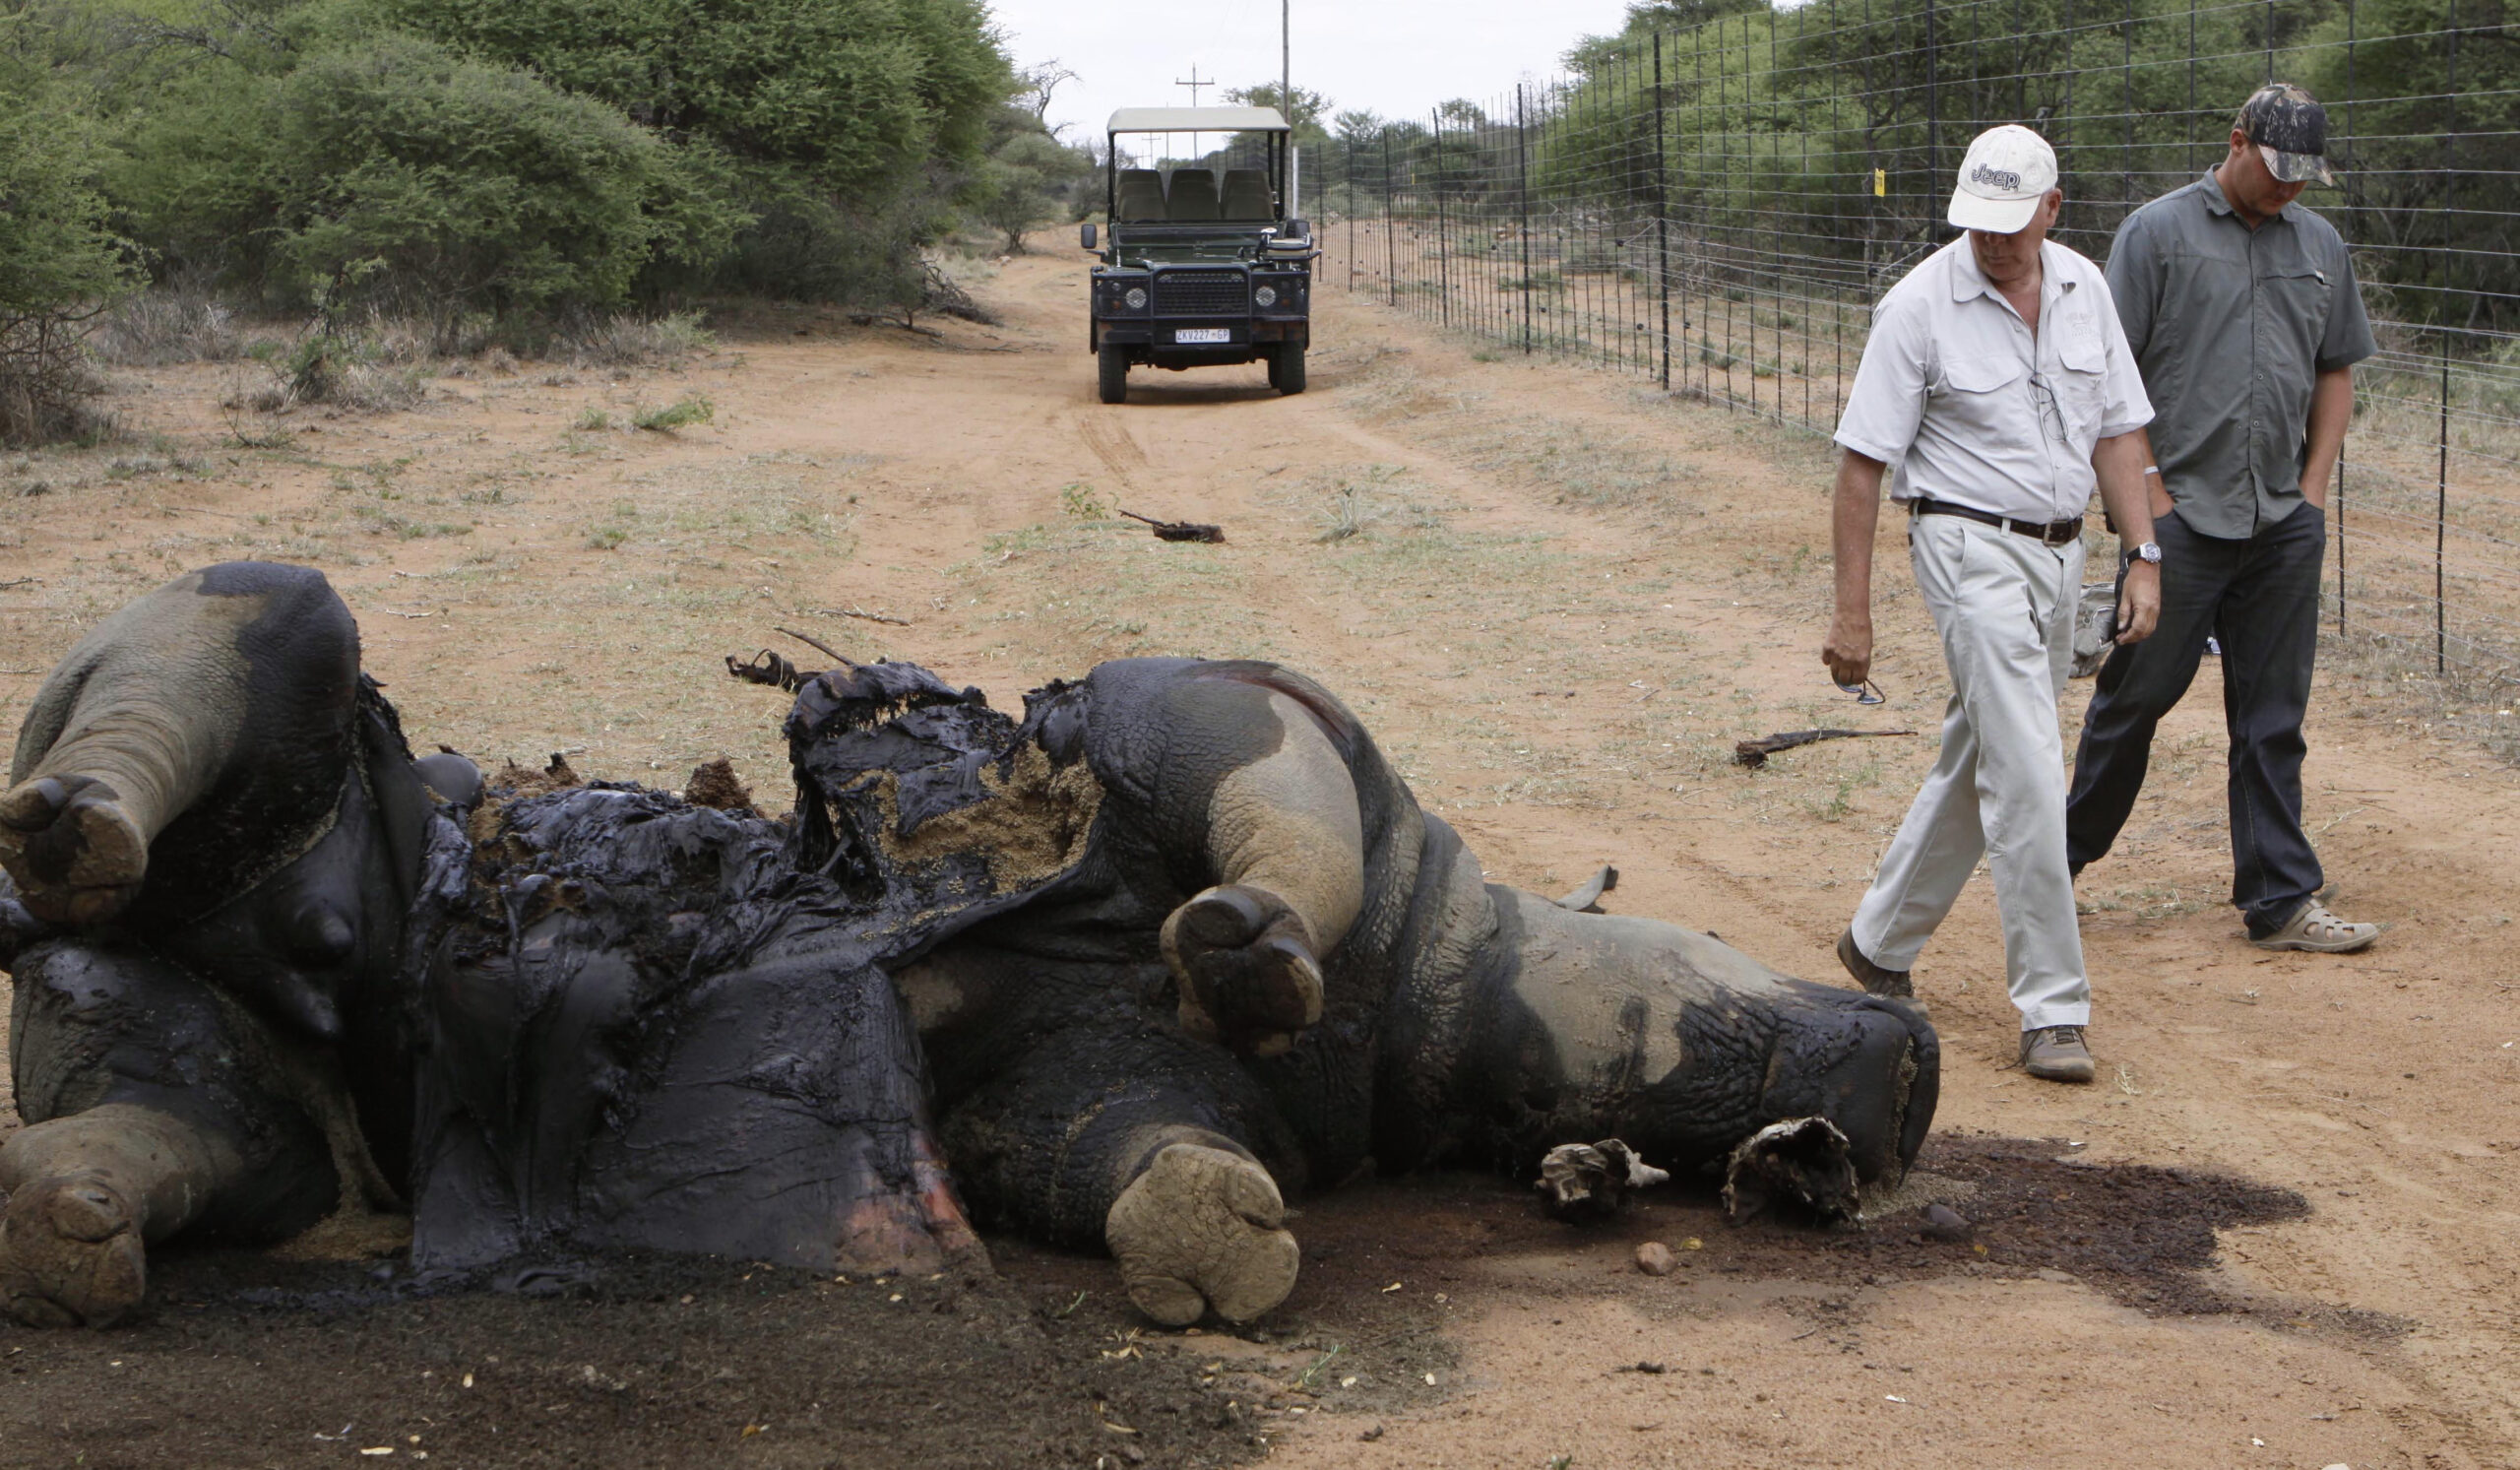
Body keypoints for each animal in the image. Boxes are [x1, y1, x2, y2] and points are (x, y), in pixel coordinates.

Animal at [0, 562, 1937, 1328]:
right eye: (1716, 994)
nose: (1905, 1065)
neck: (1425, 1011)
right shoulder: (1241, 714)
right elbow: (1269, 830)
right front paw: (1247, 943)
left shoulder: (1067, 1099)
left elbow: (1154, 1168)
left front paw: (1211, 1235)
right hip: (265, 654)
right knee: (226, 648)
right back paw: (67, 827)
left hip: (237, 1097)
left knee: (176, 1132)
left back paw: (66, 1211)